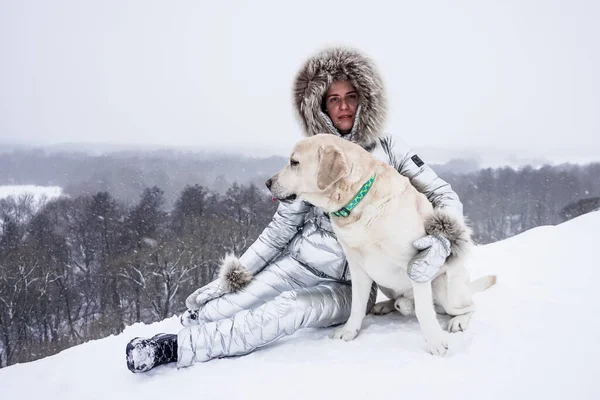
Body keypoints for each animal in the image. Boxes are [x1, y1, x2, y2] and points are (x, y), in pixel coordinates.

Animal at [270, 133, 494, 354]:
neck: (358, 201)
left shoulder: (417, 264)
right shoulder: (358, 267)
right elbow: (357, 305)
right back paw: (387, 305)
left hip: (443, 286)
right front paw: (349, 332)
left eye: (294, 162)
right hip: (385, 282)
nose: (267, 183)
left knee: (466, 306)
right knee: (402, 300)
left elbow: (424, 310)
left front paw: (435, 342)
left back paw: (458, 320)